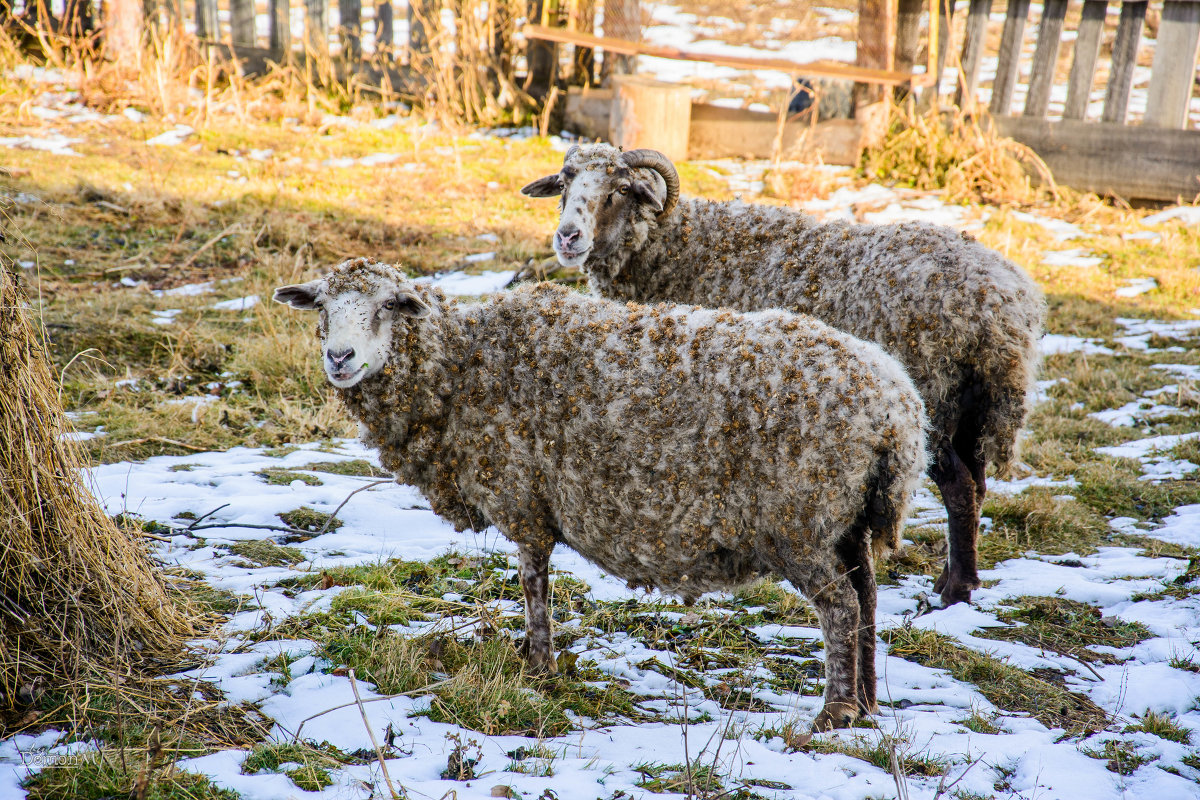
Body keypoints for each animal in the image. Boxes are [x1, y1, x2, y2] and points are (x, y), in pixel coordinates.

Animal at [278, 257, 926, 734]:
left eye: (388, 307)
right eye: (324, 309)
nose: (339, 358)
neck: (460, 368)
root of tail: (897, 408)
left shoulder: (523, 497)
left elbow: (533, 581)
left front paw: (539, 666)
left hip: (799, 520)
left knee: (840, 608)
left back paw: (833, 714)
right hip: (849, 517)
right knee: (868, 597)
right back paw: (866, 704)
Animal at [520, 145, 1046, 606]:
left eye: (621, 188)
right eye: (565, 183)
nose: (568, 238)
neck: (675, 245)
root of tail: (1007, 307)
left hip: (934, 400)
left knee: (958, 488)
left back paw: (955, 591)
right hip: (973, 410)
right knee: (977, 485)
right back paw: (957, 576)